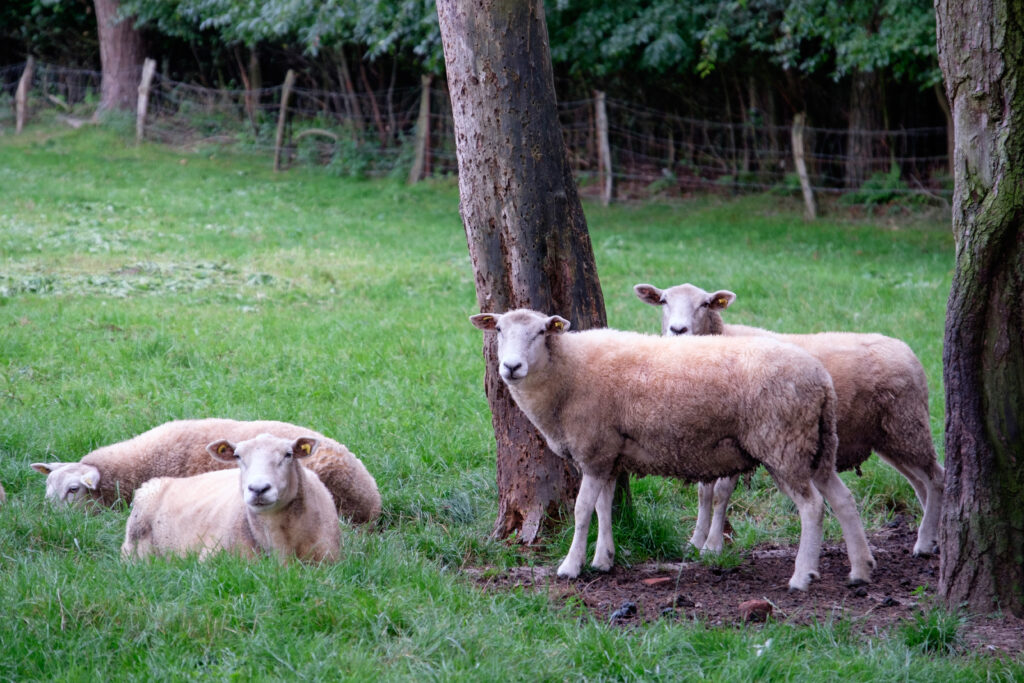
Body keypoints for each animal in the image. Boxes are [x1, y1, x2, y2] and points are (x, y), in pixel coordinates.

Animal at [469, 308, 875, 591]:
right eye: (499, 330)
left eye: (540, 332)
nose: (511, 367)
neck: (565, 372)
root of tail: (821, 378)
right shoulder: (610, 454)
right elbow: (604, 507)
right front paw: (604, 560)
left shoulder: (594, 449)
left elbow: (584, 510)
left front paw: (571, 566)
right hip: (816, 445)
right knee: (843, 500)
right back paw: (860, 570)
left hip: (783, 444)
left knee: (812, 507)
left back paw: (802, 576)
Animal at [634, 282, 945, 557]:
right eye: (664, 301)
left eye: (705, 304)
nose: (678, 330)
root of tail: (908, 351)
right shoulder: (708, 440)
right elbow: (704, 493)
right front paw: (695, 542)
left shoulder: (737, 439)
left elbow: (721, 493)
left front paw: (712, 547)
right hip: (888, 436)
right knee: (920, 483)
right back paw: (931, 538)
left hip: (907, 423)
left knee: (936, 477)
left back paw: (924, 542)